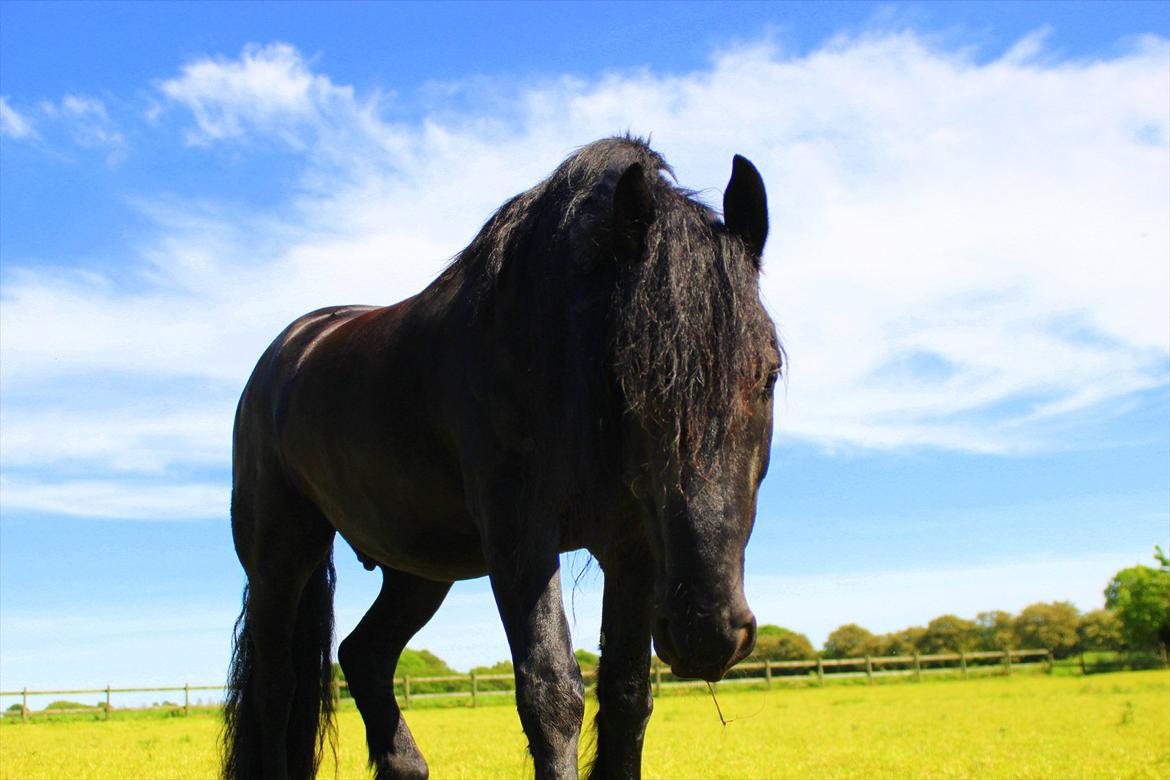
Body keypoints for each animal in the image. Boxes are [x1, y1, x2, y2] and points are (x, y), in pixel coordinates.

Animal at [223, 137, 781, 776]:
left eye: (768, 374)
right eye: (628, 379)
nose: (706, 632)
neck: (549, 351)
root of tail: (289, 349)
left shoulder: (632, 551)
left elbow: (626, 697)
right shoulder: (520, 536)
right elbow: (552, 693)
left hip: (419, 569)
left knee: (363, 655)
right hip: (280, 558)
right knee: (276, 688)